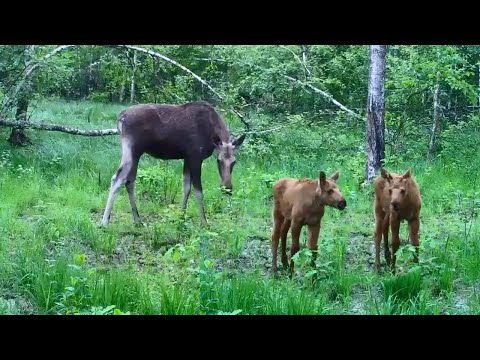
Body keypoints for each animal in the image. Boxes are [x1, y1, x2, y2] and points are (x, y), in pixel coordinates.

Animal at [99, 100, 246, 226]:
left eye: (234, 162)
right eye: (219, 160)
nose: (227, 188)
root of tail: (120, 117)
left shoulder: (187, 158)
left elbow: (186, 188)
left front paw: (181, 216)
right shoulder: (195, 157)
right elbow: (198, 191)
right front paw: (204, 222)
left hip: (136, 153)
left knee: (129, 181)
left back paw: (137, 219)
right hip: (131, 149)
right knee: (117, 178)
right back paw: (104, 222)